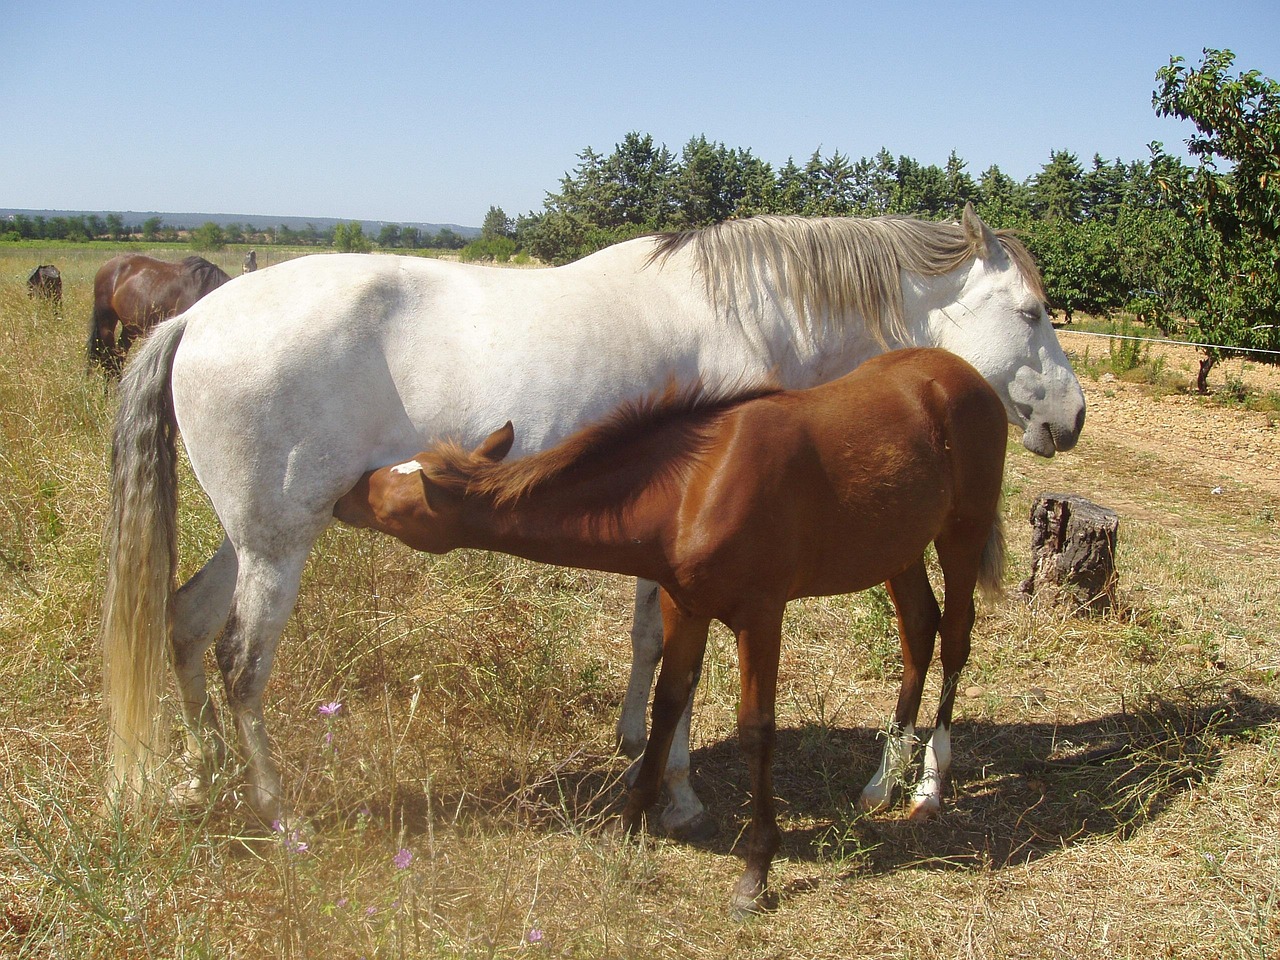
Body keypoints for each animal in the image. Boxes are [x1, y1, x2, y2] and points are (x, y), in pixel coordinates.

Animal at [332, 347, 1009, 915]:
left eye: (392, 501)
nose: (342, 495)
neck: (694, 488)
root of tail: (965, 375)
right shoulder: (686, 606)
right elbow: (666, 704)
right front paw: (629, 824)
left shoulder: (761, 614)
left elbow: (756, 729)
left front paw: (755, 869)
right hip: (899, 549)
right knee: (918, 631)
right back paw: (882, 781)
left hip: (962, 534)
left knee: (955, 639)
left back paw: (929, 785)